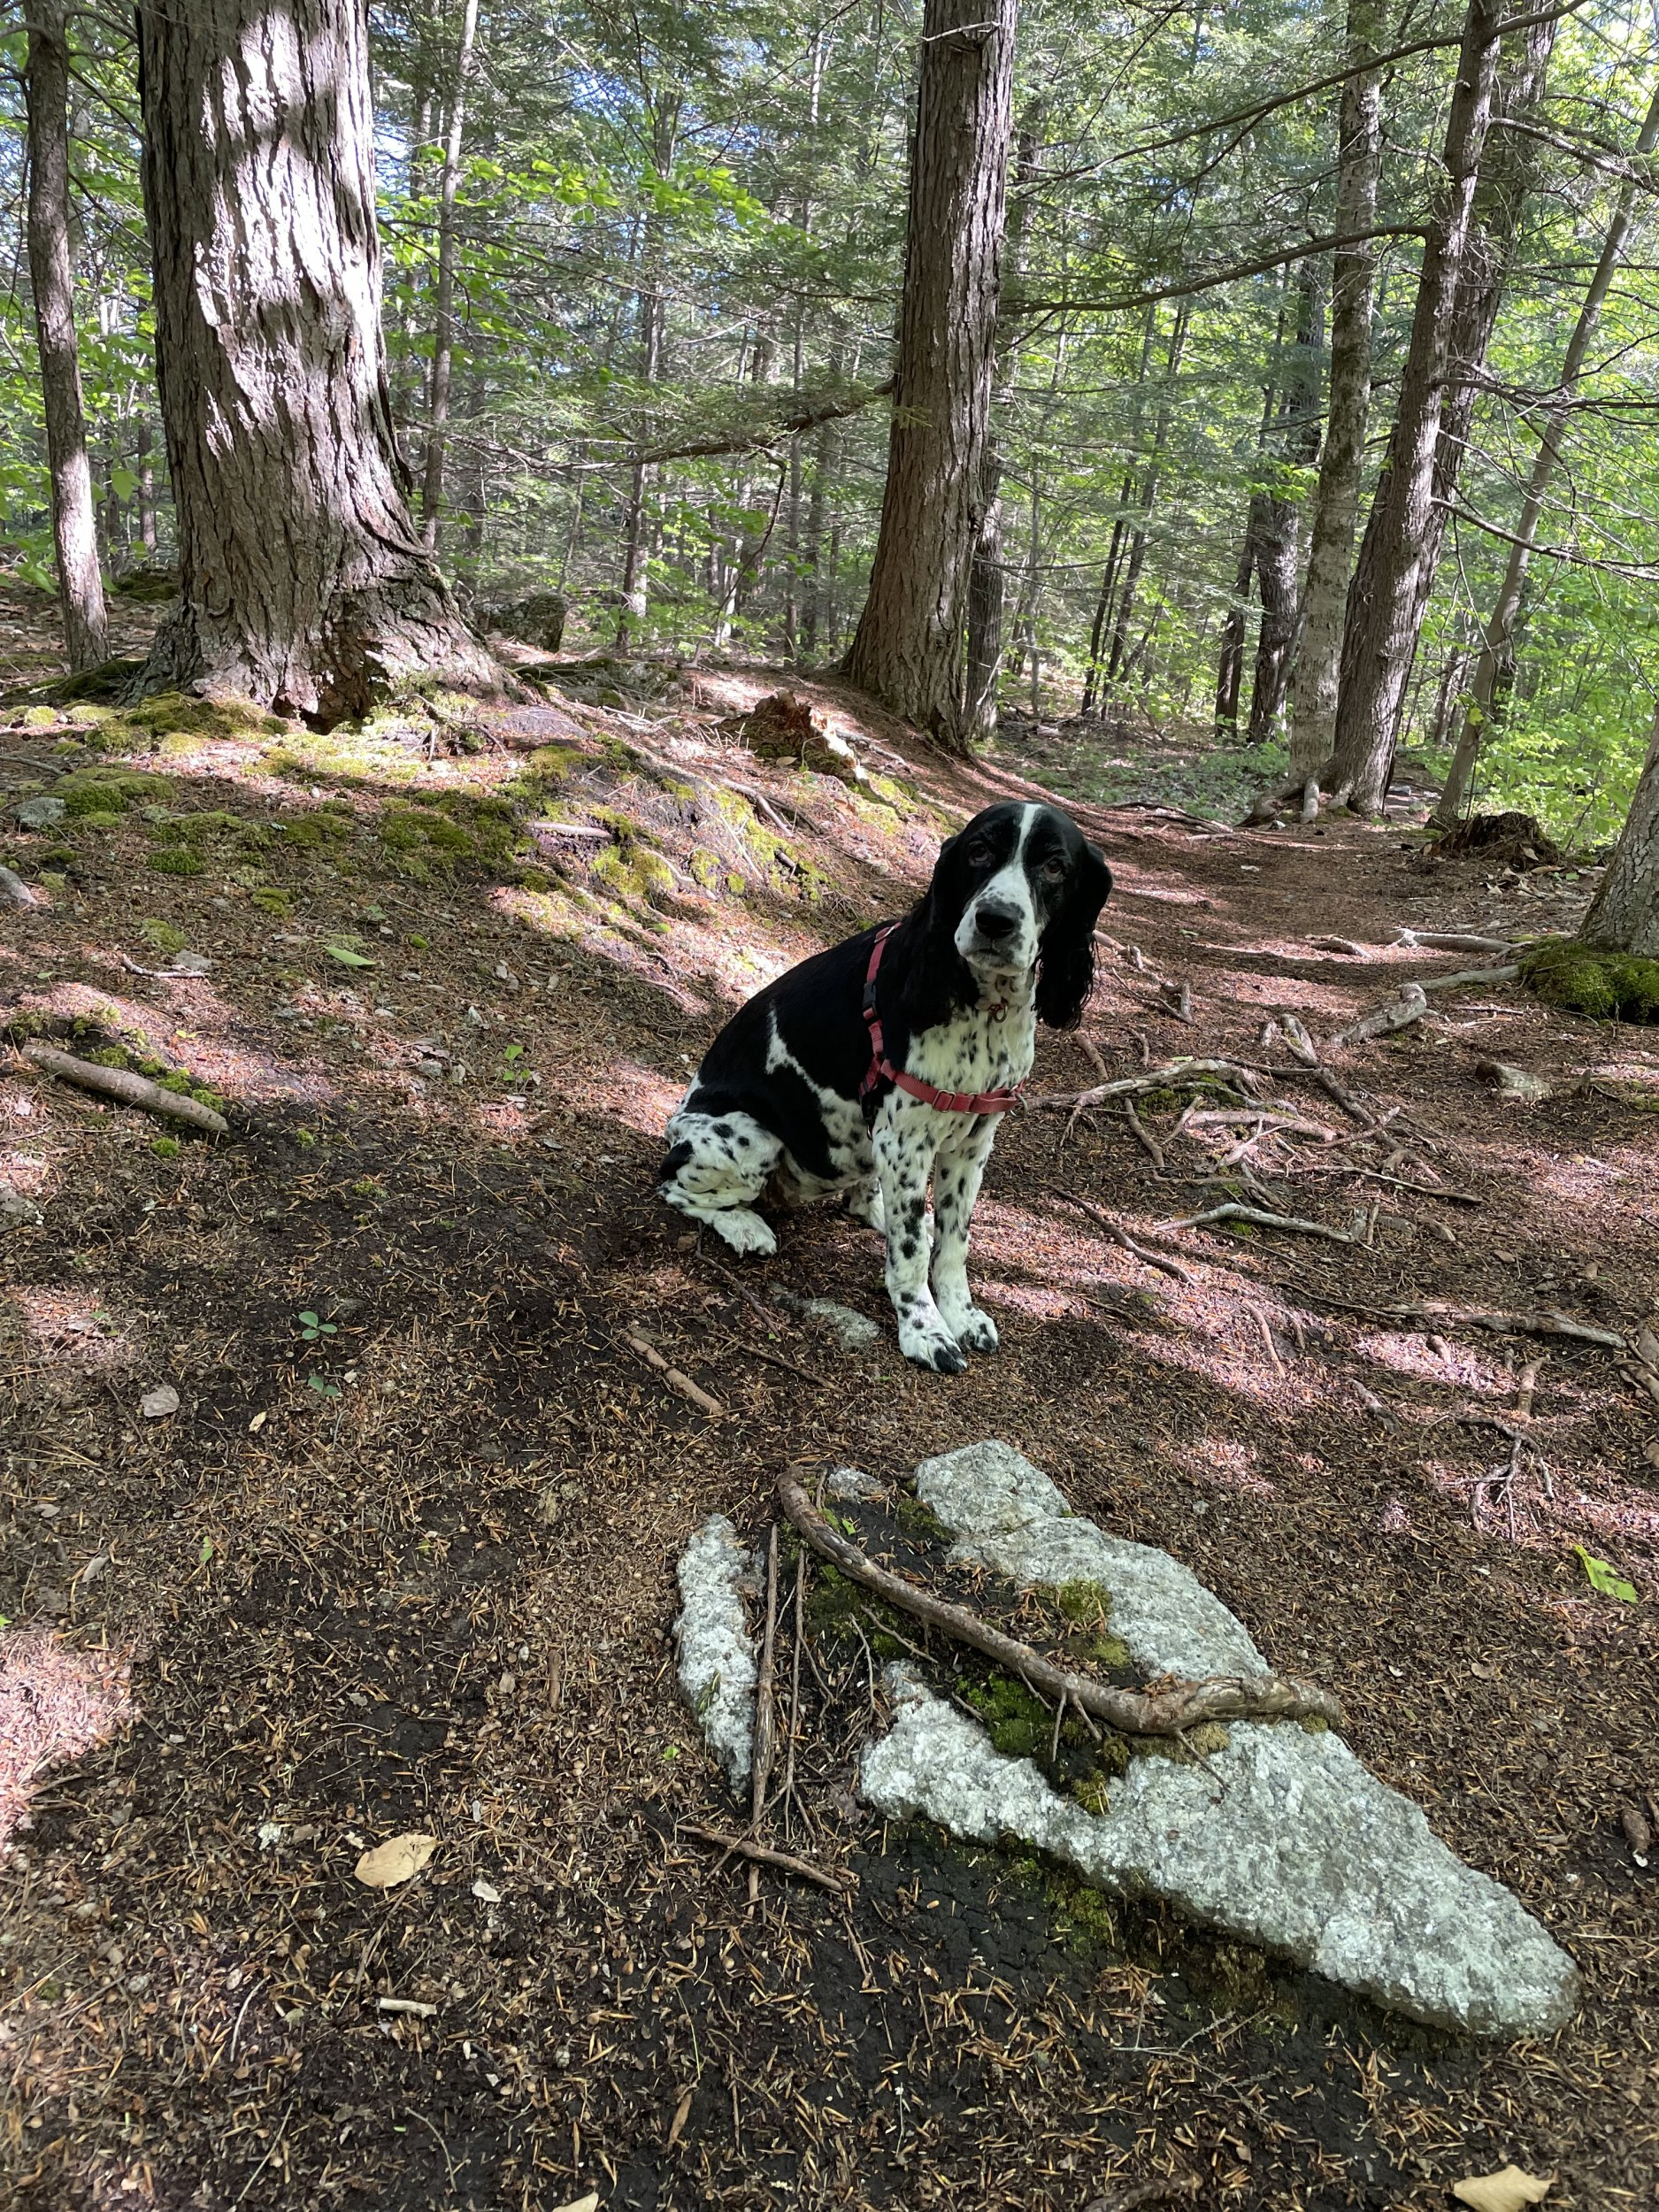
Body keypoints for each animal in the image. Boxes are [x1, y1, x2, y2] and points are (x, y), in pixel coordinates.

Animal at [657, 801, 1111, 1371]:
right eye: (978, 851)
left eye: (1055, 867)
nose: (995, 921)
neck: (982, 1005)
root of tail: (675, 1127)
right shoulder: (907, 1140)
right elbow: (912, 1254)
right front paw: (925, 1330)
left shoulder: (971, 1143)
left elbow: (952, 1241)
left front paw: (961, 1314)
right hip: (750, 1137)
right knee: (675, 1187)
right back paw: (746, 1227)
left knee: (875, 1202)